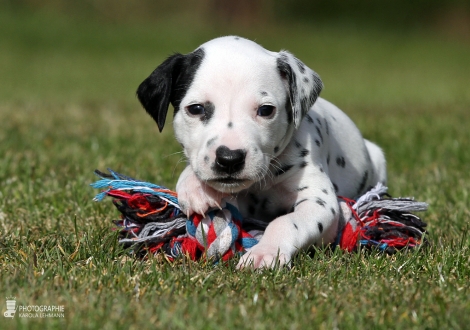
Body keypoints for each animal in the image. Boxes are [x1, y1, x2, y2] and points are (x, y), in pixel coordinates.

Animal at [135, 35, 386, 268]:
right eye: (196, 109)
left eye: (266, 110)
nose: (229, 159)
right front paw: (196, 188)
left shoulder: (319, 202)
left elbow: (285, 222)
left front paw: (265, 252)